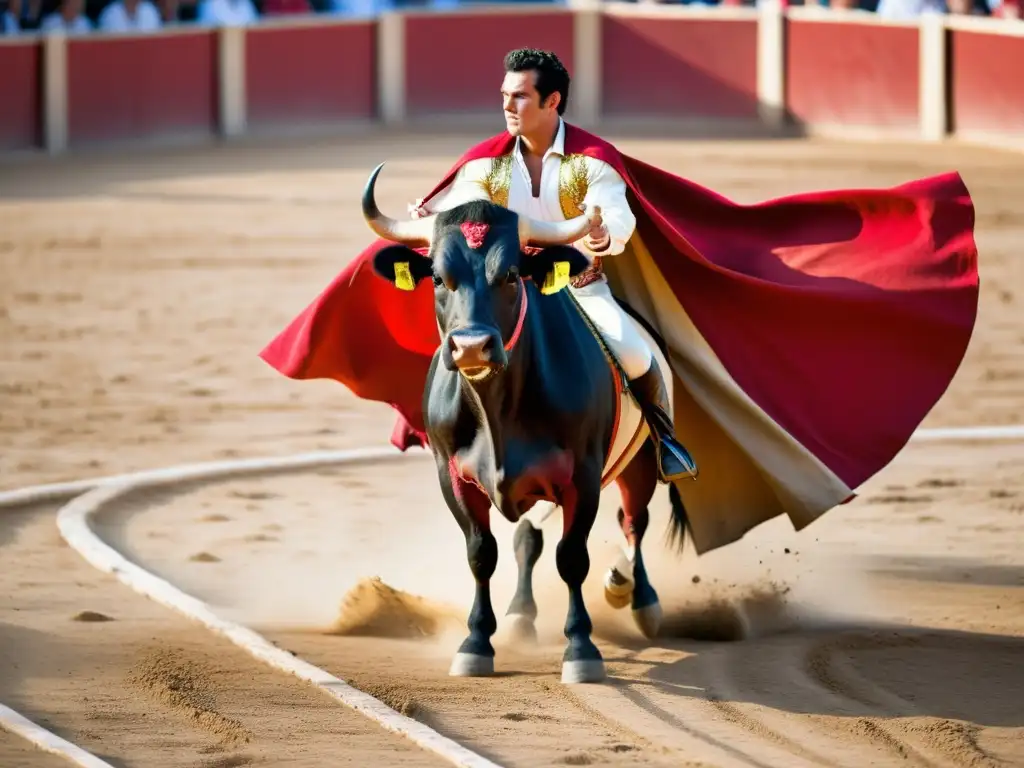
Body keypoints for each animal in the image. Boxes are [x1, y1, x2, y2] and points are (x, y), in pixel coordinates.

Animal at [360, 162, 688, 684]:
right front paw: (476, 642)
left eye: (512, 274)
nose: (471, 347)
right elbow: (482, 552)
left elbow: (572, 557)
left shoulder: (582, 478)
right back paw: (522, 614)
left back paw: (637, 597)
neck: (498, 412)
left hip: (638, 463)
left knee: (634, 521)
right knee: (528, 536)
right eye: (438, 277)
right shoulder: (454, 477)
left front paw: (581, 650)